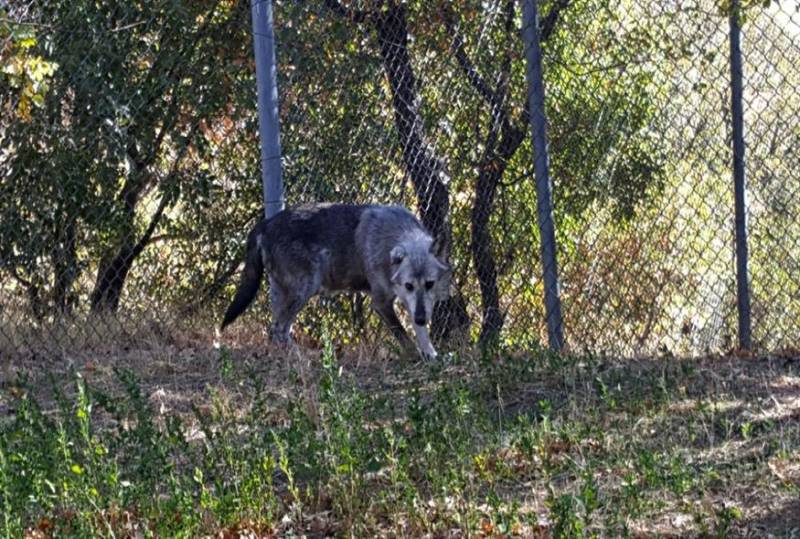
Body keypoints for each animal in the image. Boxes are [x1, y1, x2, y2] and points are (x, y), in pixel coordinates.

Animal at [222, 202, 454, 358]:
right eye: (409, 285)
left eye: (430, 284)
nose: (422, 318)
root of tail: (265, 223)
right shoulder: (381, 303)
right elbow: (404, 337)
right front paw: (416, 357)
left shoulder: (412, 305)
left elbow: (420, 334)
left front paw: (431, 355)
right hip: (305, 289)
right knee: (278, 330)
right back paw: (305, 356)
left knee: (276, 331)